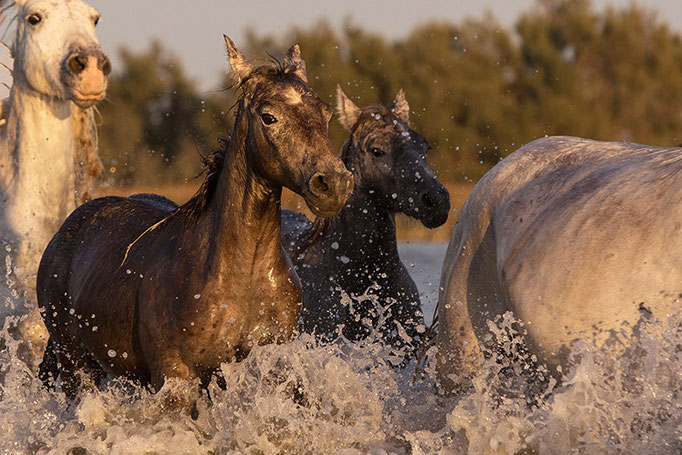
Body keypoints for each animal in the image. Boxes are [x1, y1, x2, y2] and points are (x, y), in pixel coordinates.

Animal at [36, 36, 354, 399]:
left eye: (326, 113)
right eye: (269, 117)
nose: (334, 183)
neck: (238, 277)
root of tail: (67, 228)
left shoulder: (272, 363)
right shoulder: (176, 374)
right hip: (74, 364)